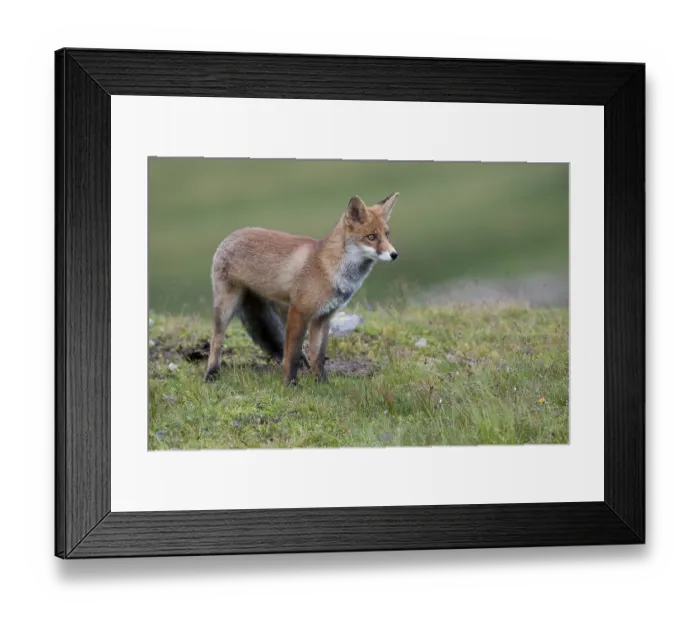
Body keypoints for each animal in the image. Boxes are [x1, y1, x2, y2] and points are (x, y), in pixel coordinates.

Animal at [204, 192, 400, 385]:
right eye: (371, 237)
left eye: (387, 234)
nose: (394, 254)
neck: (328, 267)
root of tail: (232, 234)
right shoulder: (300, 312)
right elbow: (292, 354)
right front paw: (290, 384)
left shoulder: (323, 317)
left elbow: (318, 355)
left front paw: (322, 382)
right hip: (227, 307)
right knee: (216, 341)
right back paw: (211, 374)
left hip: (280, 309)